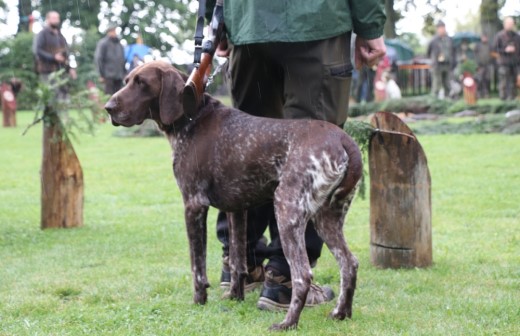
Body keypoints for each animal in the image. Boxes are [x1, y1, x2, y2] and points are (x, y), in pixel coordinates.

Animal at [104, 61, 362, 330]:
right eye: (127, 80)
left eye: (141, 83)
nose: (108, 108)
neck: (192, 118)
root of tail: (343, 139)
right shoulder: (236, 208)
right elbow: (238, 260)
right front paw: (235, 297)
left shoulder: (194, 204)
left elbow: (197, 266)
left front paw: (199, 301)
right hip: (327, 217)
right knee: (349, 263)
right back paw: (340, 313)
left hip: (287, 210)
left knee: (302, 274)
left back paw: (287, 323)